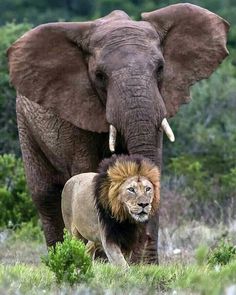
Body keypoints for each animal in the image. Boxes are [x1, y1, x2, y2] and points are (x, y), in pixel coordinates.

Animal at [7, 4, 229, 264]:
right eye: (100, 76)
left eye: (161, 68)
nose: (143, 244)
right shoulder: (75, 115)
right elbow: (86, 171)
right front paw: (104, 262)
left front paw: (144, 266)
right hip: (25, 123)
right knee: (45, 195)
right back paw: (63, 256)